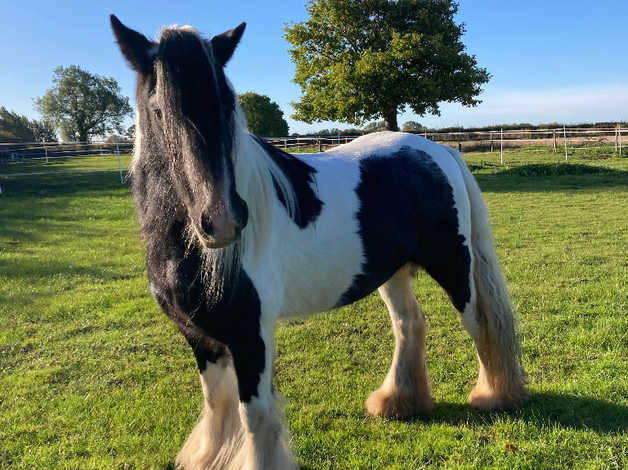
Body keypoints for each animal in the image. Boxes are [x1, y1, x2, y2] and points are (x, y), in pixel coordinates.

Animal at [111, 14, 524, 470]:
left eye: (227, 108)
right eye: (159, 111)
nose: (223, 221)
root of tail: (436, 150)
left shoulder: (251, 334)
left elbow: (254, 415)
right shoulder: (200, 336)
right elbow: (216, 404)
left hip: (454, 266)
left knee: (480, 324)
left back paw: (495, 396)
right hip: (392, 273)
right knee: (409, 323)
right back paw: (398, 402)